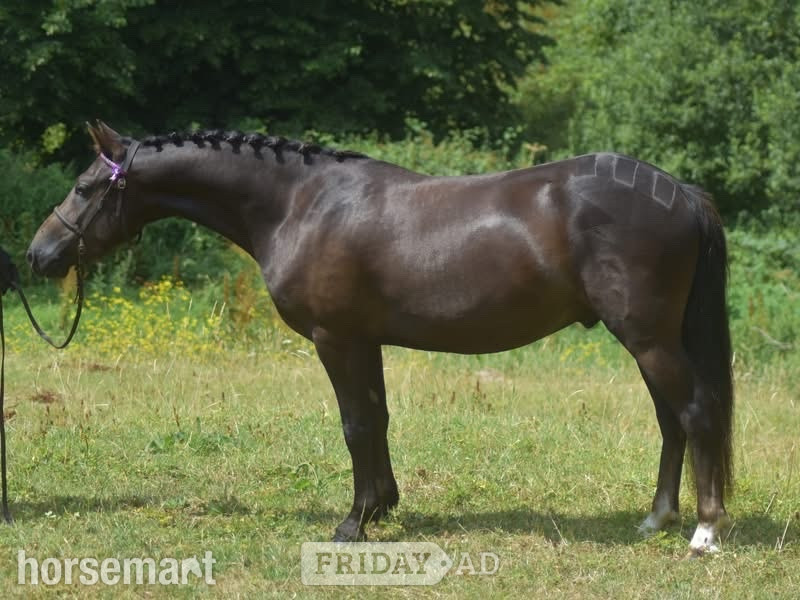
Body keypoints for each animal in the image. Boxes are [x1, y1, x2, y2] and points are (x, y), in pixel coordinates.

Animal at [27, 121, 733, 555]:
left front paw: (353, 523)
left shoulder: (336, 339)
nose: (39, 254)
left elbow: (356, 425)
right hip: (650, 341)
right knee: (672, 422)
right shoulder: (364, 341)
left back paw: (703, 533)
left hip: (647, 338)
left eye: (86, 187)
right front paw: (384, 508)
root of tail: (680, 192)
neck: (301, 203)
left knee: (696, 413)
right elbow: (379, 420)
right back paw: (656, 519)